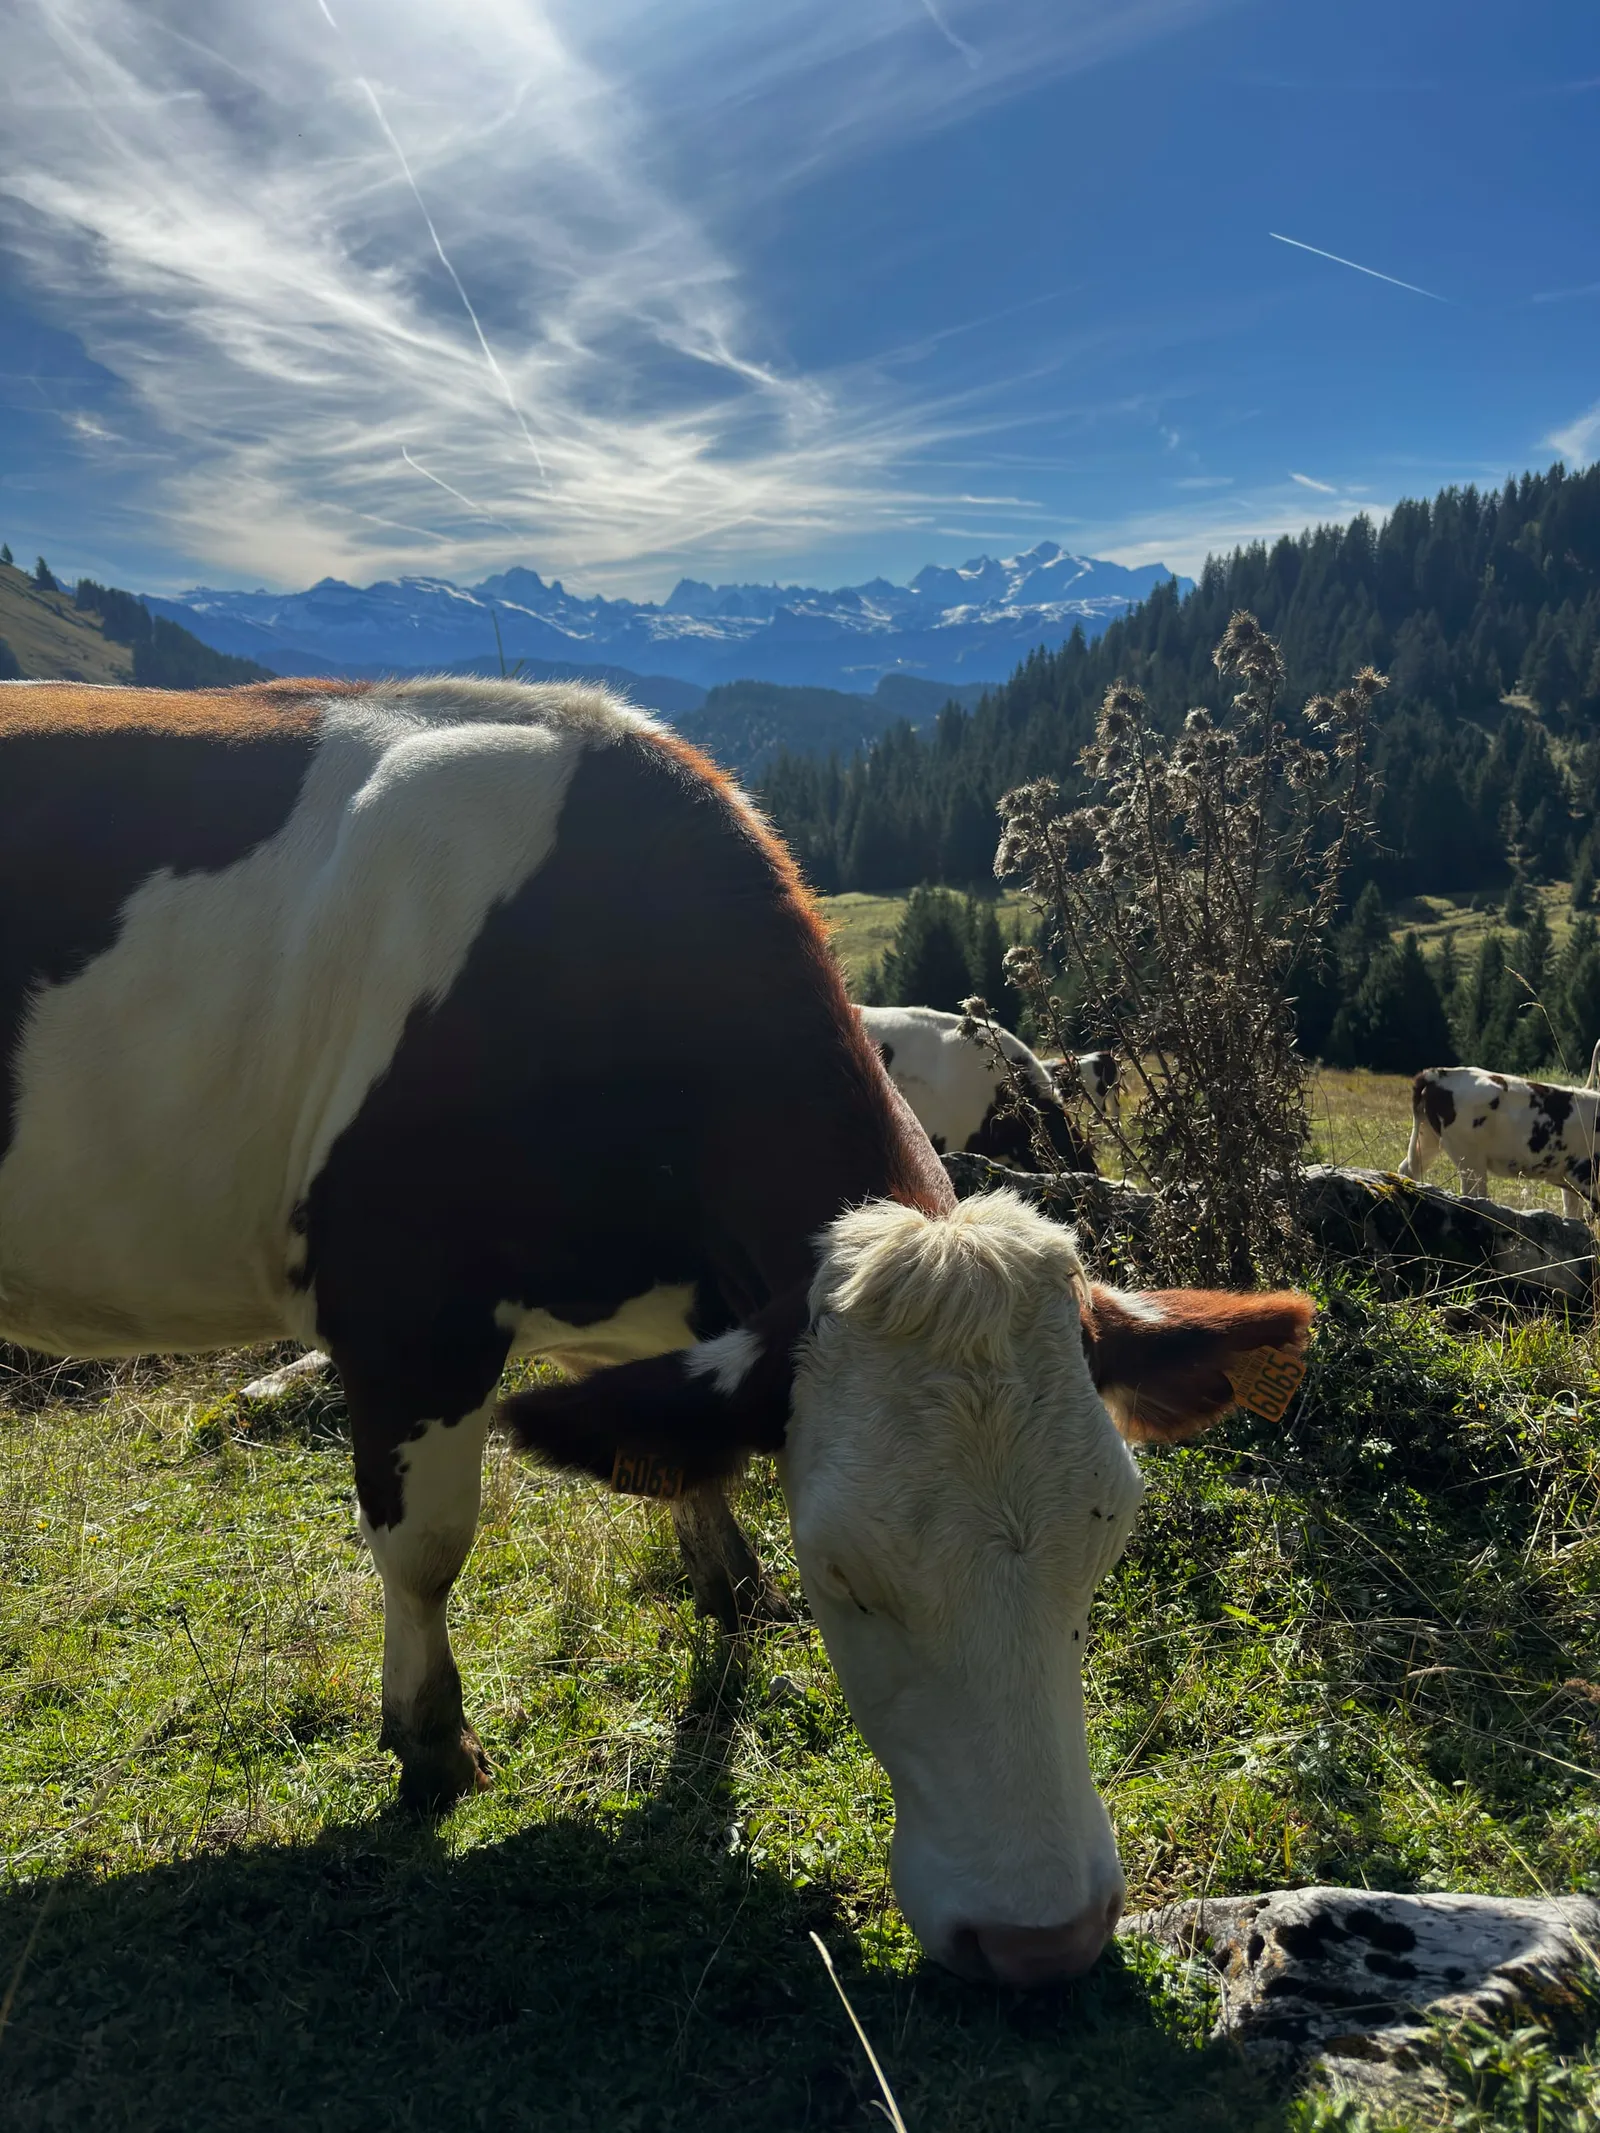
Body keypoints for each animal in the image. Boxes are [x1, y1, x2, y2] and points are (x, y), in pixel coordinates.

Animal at [1399, 1066, 1600, 1216]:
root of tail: (1437, 1073)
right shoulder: (1584, 1176)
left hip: (1428, 1138)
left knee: (1408, 1168)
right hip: (1470, 1158)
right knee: (1473, 1195)